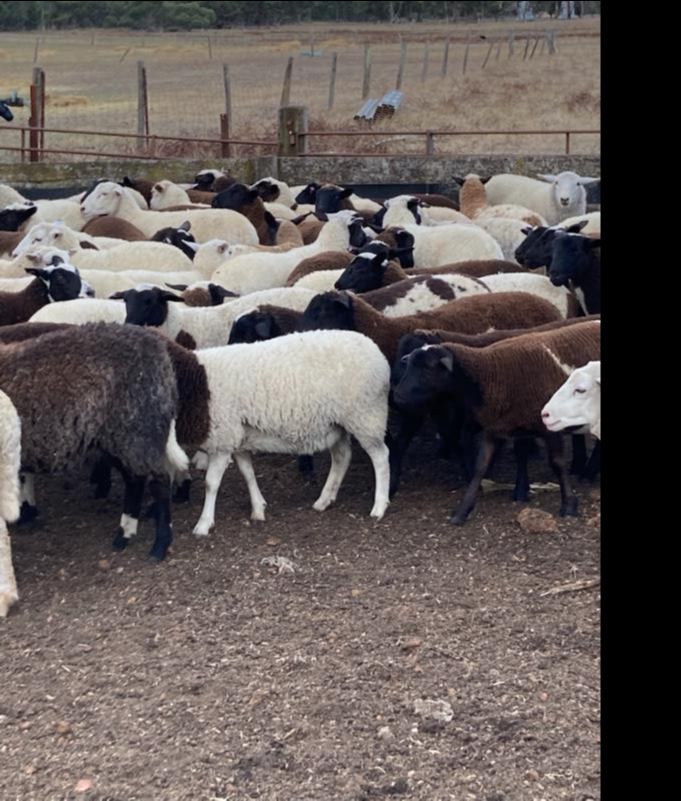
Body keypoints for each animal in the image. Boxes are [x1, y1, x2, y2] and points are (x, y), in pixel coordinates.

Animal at [0, 324, 189, 561]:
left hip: (138, 430)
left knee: (159, 482)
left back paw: (159, 546)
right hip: (115, 437)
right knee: (135, 479)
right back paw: (124, 535)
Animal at [190, 330, 391, 536]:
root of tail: (376, 351)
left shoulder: (222, 437)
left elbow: (211, 483)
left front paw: (203, 524)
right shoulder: (236, 437)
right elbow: (247, 472)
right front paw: (258, 508)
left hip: (366, 415)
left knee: (381, 457)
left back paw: (379, 506)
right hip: (336, 423)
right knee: (342, 456)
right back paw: (324, 500)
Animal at [393, 320, 601, 524]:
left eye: (427, 368)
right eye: (408, 363)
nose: (398, 396)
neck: (491, 372)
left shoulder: (548, 426)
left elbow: (557, 463)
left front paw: (569, 505)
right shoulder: (498, 427)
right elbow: (481, 466)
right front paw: (462, 511)